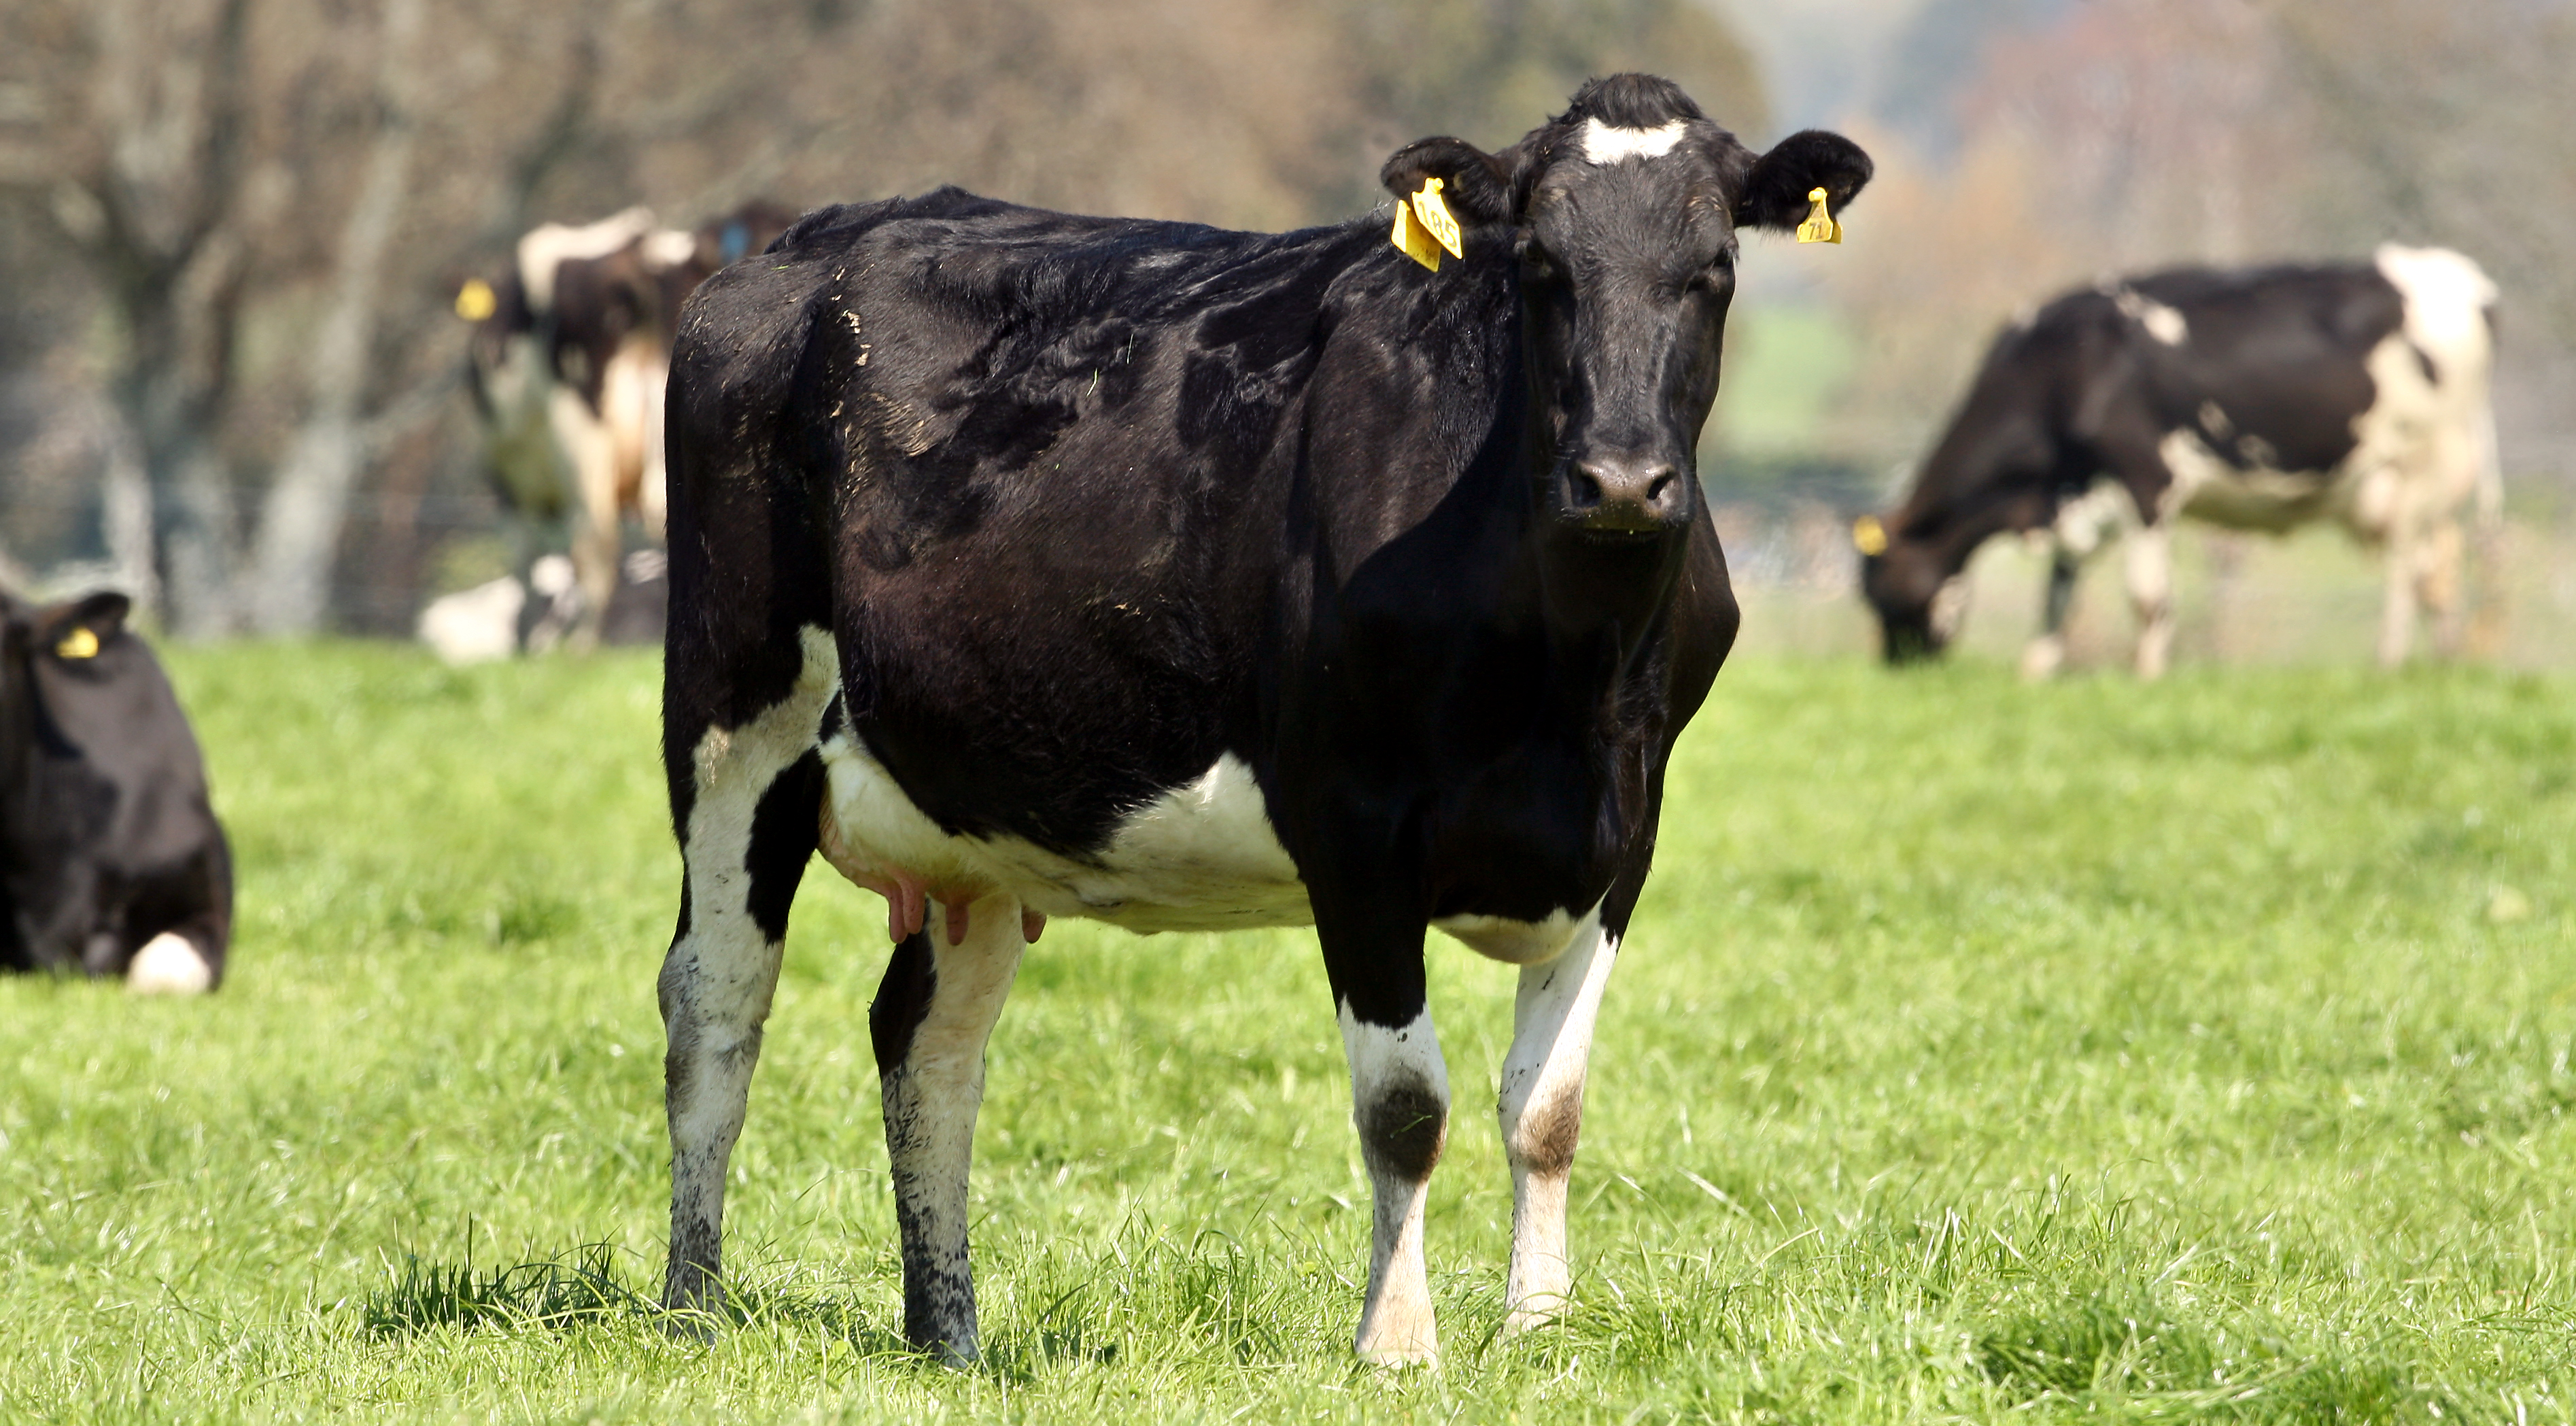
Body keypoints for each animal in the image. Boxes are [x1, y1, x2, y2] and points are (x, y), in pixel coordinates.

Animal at [652, 73, 1870, 1364]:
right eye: (1540, 263)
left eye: (1712, 267)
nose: (1622, 481)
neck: (1564, 676)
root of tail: (809, 240)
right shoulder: (1354, 825)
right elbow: (1405, 1107)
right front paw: (1397, 1344)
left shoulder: (1622, 834)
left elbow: (1546, 1110)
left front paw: (1537, 1333)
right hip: (734, 721)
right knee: (715, 1003)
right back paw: (693, 1305)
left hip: (973, 807)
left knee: (927, 1044)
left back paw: (951, 1336)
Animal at [1857, 246, 2500, 678]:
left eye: (1881, 590)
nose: (1896, 668)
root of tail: (2462, 278)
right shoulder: (2079, 495)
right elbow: (2058, 593)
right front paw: (2036, 671)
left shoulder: (2146, 478)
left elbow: (2147, 598)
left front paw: (2146, 676)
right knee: (2438, 572)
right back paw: (2444, 667)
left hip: (2418, 467)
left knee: (2406, 569)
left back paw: (2388, 661)